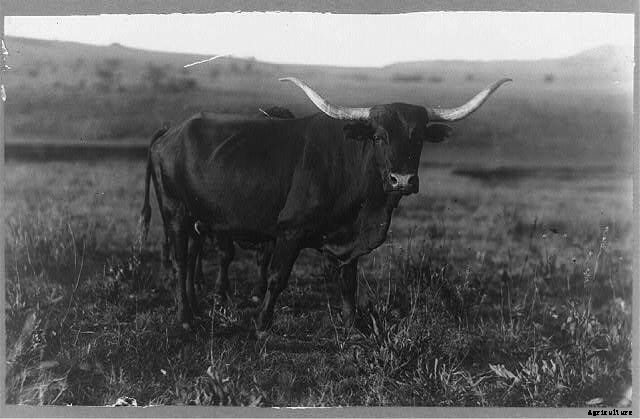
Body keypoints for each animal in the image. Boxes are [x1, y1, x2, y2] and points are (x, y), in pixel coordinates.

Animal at [141, 77, 510, 332]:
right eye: (379, 136)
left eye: (418, 138)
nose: (402, 180)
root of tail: (171, 131)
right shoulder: (289, 231)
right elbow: (277, 277)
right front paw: (261, 324)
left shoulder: (349, 236)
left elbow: (348, 282)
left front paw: (352, 326)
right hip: (175, 212)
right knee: (179, 261)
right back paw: (185, 318)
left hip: (197, 219)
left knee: (190, 257)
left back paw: (195, 310)